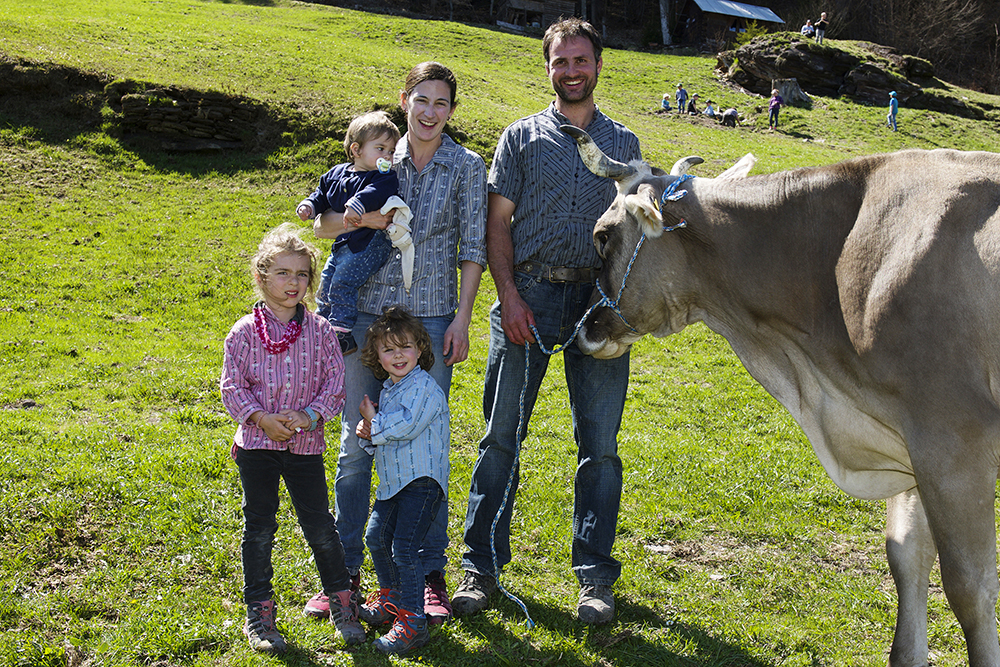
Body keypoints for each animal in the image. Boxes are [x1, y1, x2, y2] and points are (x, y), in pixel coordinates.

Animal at [564, 122, 1000, 664]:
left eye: (603, 237)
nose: (583, 331)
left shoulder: (953, 440)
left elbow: (969, 589)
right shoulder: (908, 438)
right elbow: (906, 558)